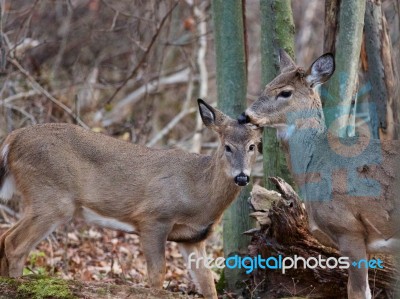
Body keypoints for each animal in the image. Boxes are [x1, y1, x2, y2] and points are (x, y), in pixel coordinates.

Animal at [0, 100, 262, 299]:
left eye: (253, 146)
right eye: (227, 147)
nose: (241, 176)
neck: (198, 192)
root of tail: (12, 139)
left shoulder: (193, 238)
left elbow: (207, 283)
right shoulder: (153, 218)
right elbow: (157, 275)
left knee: (6, 237)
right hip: (51, 197)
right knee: (14, 244)